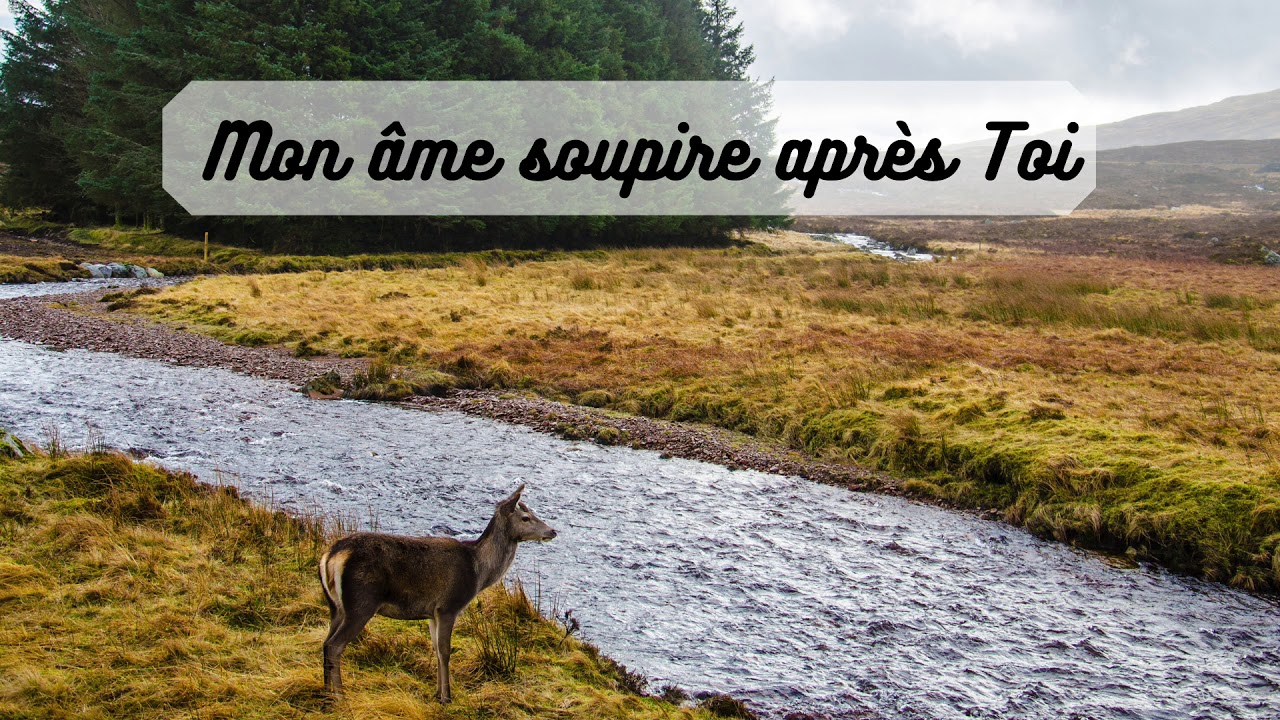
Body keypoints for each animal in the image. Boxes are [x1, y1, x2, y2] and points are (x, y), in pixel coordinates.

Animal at [318, 484, 556, 702]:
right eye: (526, 517)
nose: (552, 531)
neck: (478, 572)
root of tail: (331, 556)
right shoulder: (448, 606)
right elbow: (445, 651)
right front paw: (446, 697)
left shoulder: (431, 613)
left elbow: (435, 650)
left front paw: (436, 693)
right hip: (361, 602)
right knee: (335, 645)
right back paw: (339, 695)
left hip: (336, 606)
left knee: (326, 642)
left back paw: (327, 692)